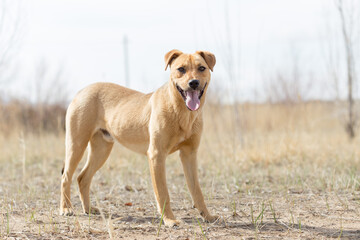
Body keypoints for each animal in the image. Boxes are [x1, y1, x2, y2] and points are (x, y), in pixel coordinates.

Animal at [59, 49, 218, 227]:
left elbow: (197, 190)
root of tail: (82, 90)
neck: (182, 112)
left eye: (202, 68)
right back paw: (66, 209)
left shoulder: (189, 154)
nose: (194, 83)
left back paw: (88, 209)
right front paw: (169, 219)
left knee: (82, 178)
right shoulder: (156, 155)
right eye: (181, 69)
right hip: (76, 145)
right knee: (66, 177)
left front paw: (207, 216)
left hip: (101, 150)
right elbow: (163, 193)